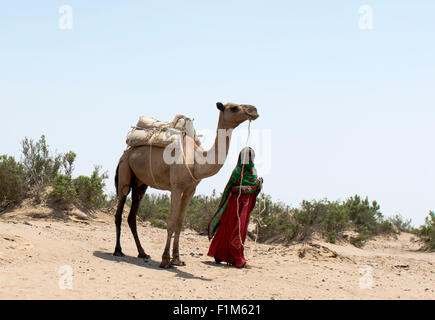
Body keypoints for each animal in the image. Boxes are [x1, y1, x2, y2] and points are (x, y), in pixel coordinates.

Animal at [114, 102, 260, 268]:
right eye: (234, 107)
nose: (254, 110)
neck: (197, 162)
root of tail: (127, 151)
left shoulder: (190, 189)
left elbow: (180, 223)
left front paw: (177, 259)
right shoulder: (176, 187)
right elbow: (171, 223)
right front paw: (165, 259)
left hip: (140, 184)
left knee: (132, 216)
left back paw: (142, 252)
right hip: (125, 171)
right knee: (119, 210)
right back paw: (118, 251)